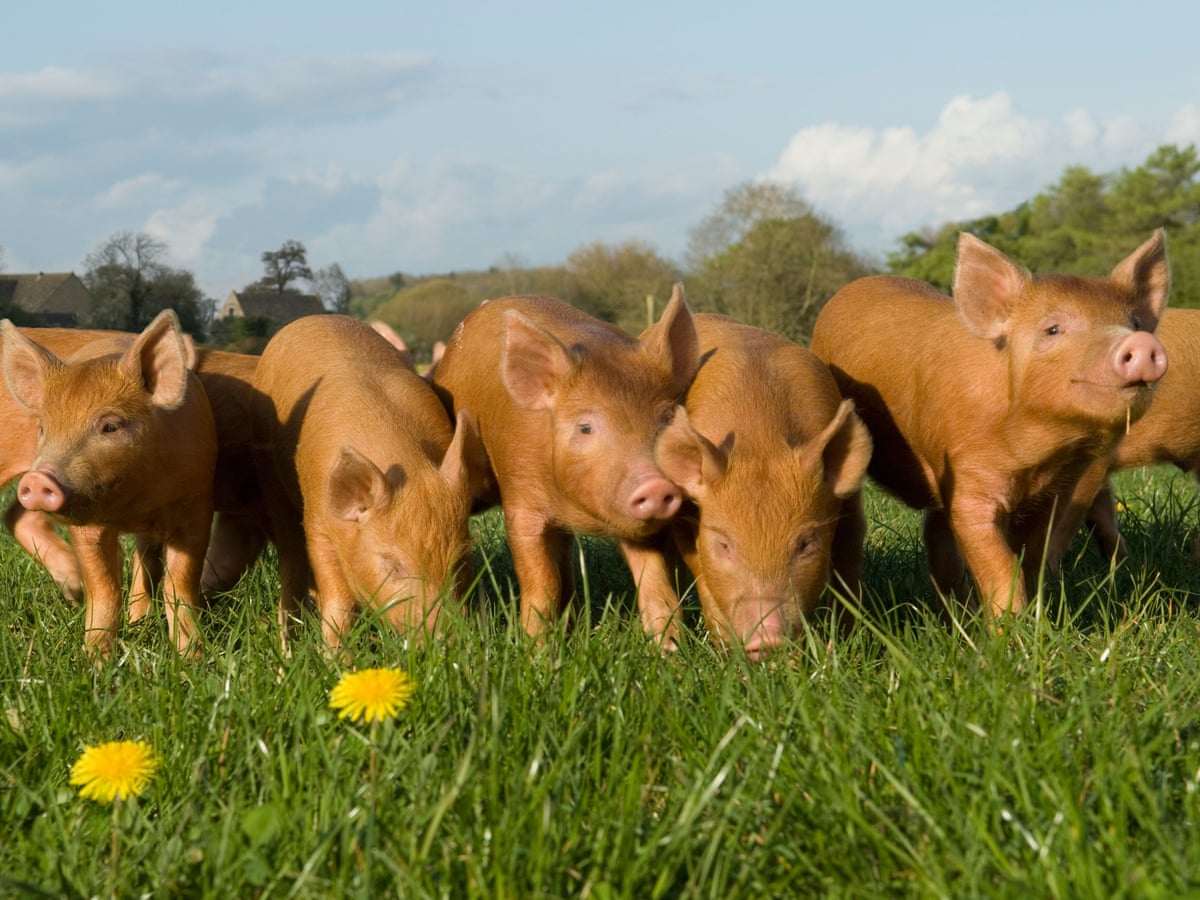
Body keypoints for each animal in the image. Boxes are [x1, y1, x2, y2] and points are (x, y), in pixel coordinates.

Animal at [0, 310, 217, 657]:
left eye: (110, 426)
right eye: (43, 428)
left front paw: (192, 658)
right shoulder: (86, 523)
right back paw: (78, 592)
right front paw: (95, 661)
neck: (135, 505)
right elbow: (105, 589)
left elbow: (180, 583)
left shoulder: (197, 504)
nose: (37, 479)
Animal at [253, 314, 484, 649]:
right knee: (291, 561)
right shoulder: (317, 523)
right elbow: (338, 603)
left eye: (460, 559)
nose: (443, 641)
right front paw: (335, 656)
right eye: (392, 565)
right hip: (272, 483)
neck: (406, 463)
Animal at [430, 285, 698, 643]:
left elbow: (656, 582)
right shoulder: (521, 499)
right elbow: (542, 581)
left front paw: (670, 649)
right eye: (585, 427)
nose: (655, 484)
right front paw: (535, 648)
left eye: (667, 419)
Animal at [648, 314, 873, 657]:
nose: (767, 638)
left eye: (806, 543)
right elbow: (701, 571)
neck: (760, 439)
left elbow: (849, 556)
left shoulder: (848, 505)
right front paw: (725, 650)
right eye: (723, 545)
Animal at [810, 230, 1170, 618]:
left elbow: (1034, 557)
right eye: (1052, 329)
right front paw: (1009, 626)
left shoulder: (1055, 491)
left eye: (1135, 323)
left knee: (937, 534)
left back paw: (959, 616)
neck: (1037, 454)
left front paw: (1036, 617)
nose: (1141, 342)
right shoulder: (968, 477)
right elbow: (999, 561)